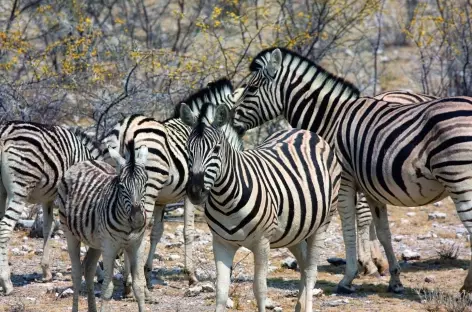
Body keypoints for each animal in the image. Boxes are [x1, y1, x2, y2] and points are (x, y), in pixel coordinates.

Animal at [0, 120, 105, 294]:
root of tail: (5, 132)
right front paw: (99, 273)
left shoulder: (47, 199)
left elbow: (47, 229)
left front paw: (46, 271)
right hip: (20, 188)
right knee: (4, 228)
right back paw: (6, 283)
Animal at [57, 142, 148, 312]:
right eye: (121, 186)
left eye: (145, 184)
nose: (138, 220)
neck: (127, 227)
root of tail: (85, 161)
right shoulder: (110, 247)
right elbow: (107, 289)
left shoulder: (136, 245)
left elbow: (139, 286)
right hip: (70, 233)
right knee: (76, 273)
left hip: (96, 242)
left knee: (88, 268)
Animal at [103, 114, 197, 294]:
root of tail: (127, 126)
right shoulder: (192, 192)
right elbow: (188, 231)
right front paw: (191, 275)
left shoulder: (161, 200)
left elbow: (156, 233)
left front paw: (147, 272)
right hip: (146, 190)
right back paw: (132, 282)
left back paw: (127, 281)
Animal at [178, 80, 340, 312]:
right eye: (187, 149)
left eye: (216, 149)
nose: (195, 191)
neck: (225, 199)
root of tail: (305, 131)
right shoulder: (221, 243)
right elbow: (221, 291)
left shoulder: (262, 243)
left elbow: (260, 289)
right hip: (294, 229)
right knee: (302, 263)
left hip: (322, 224)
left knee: (311, 271)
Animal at [230, 46, 472, 292]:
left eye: (251, 88)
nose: (230, 122)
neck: (332, 119)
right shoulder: (372, 188)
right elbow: (383, 232)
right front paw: (393, 278)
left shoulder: (344, 181)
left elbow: (348, 226)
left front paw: (349, 277)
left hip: (459, 179)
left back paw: (466, 286)